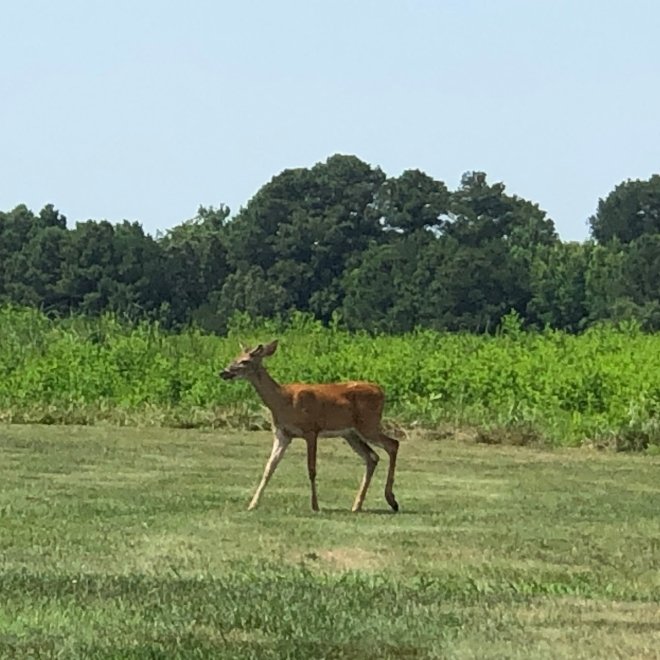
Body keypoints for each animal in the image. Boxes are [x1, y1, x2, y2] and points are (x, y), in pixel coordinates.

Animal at [219, 340, 400, 516]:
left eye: (245, 361)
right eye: (235, 357)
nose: (224, 372)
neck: (283, 401)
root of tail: (381, 391)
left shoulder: (311, 430)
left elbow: (311, 469)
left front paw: (315, 506)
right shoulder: (282, 434)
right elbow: (269, 467)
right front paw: (252, 504)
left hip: (369, 424)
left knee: (393, 444)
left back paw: (391, 500)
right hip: (350, 434)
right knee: (372, 457)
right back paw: (357, 505)